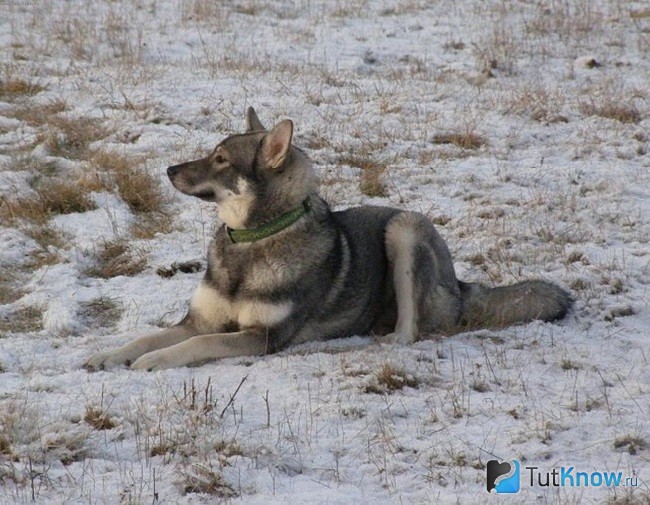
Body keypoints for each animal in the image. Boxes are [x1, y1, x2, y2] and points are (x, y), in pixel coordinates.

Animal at [82, 106, 572, 370]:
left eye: (220, 159)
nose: (168, 170)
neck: (251, 241)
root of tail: (460, 287)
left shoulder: (261, 338)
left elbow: (194, 345)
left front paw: (152, 362)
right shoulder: (199, 319)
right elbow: (150, 336)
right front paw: (112, 354)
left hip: (404, 229)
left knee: (411, 329)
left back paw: (383, 340)